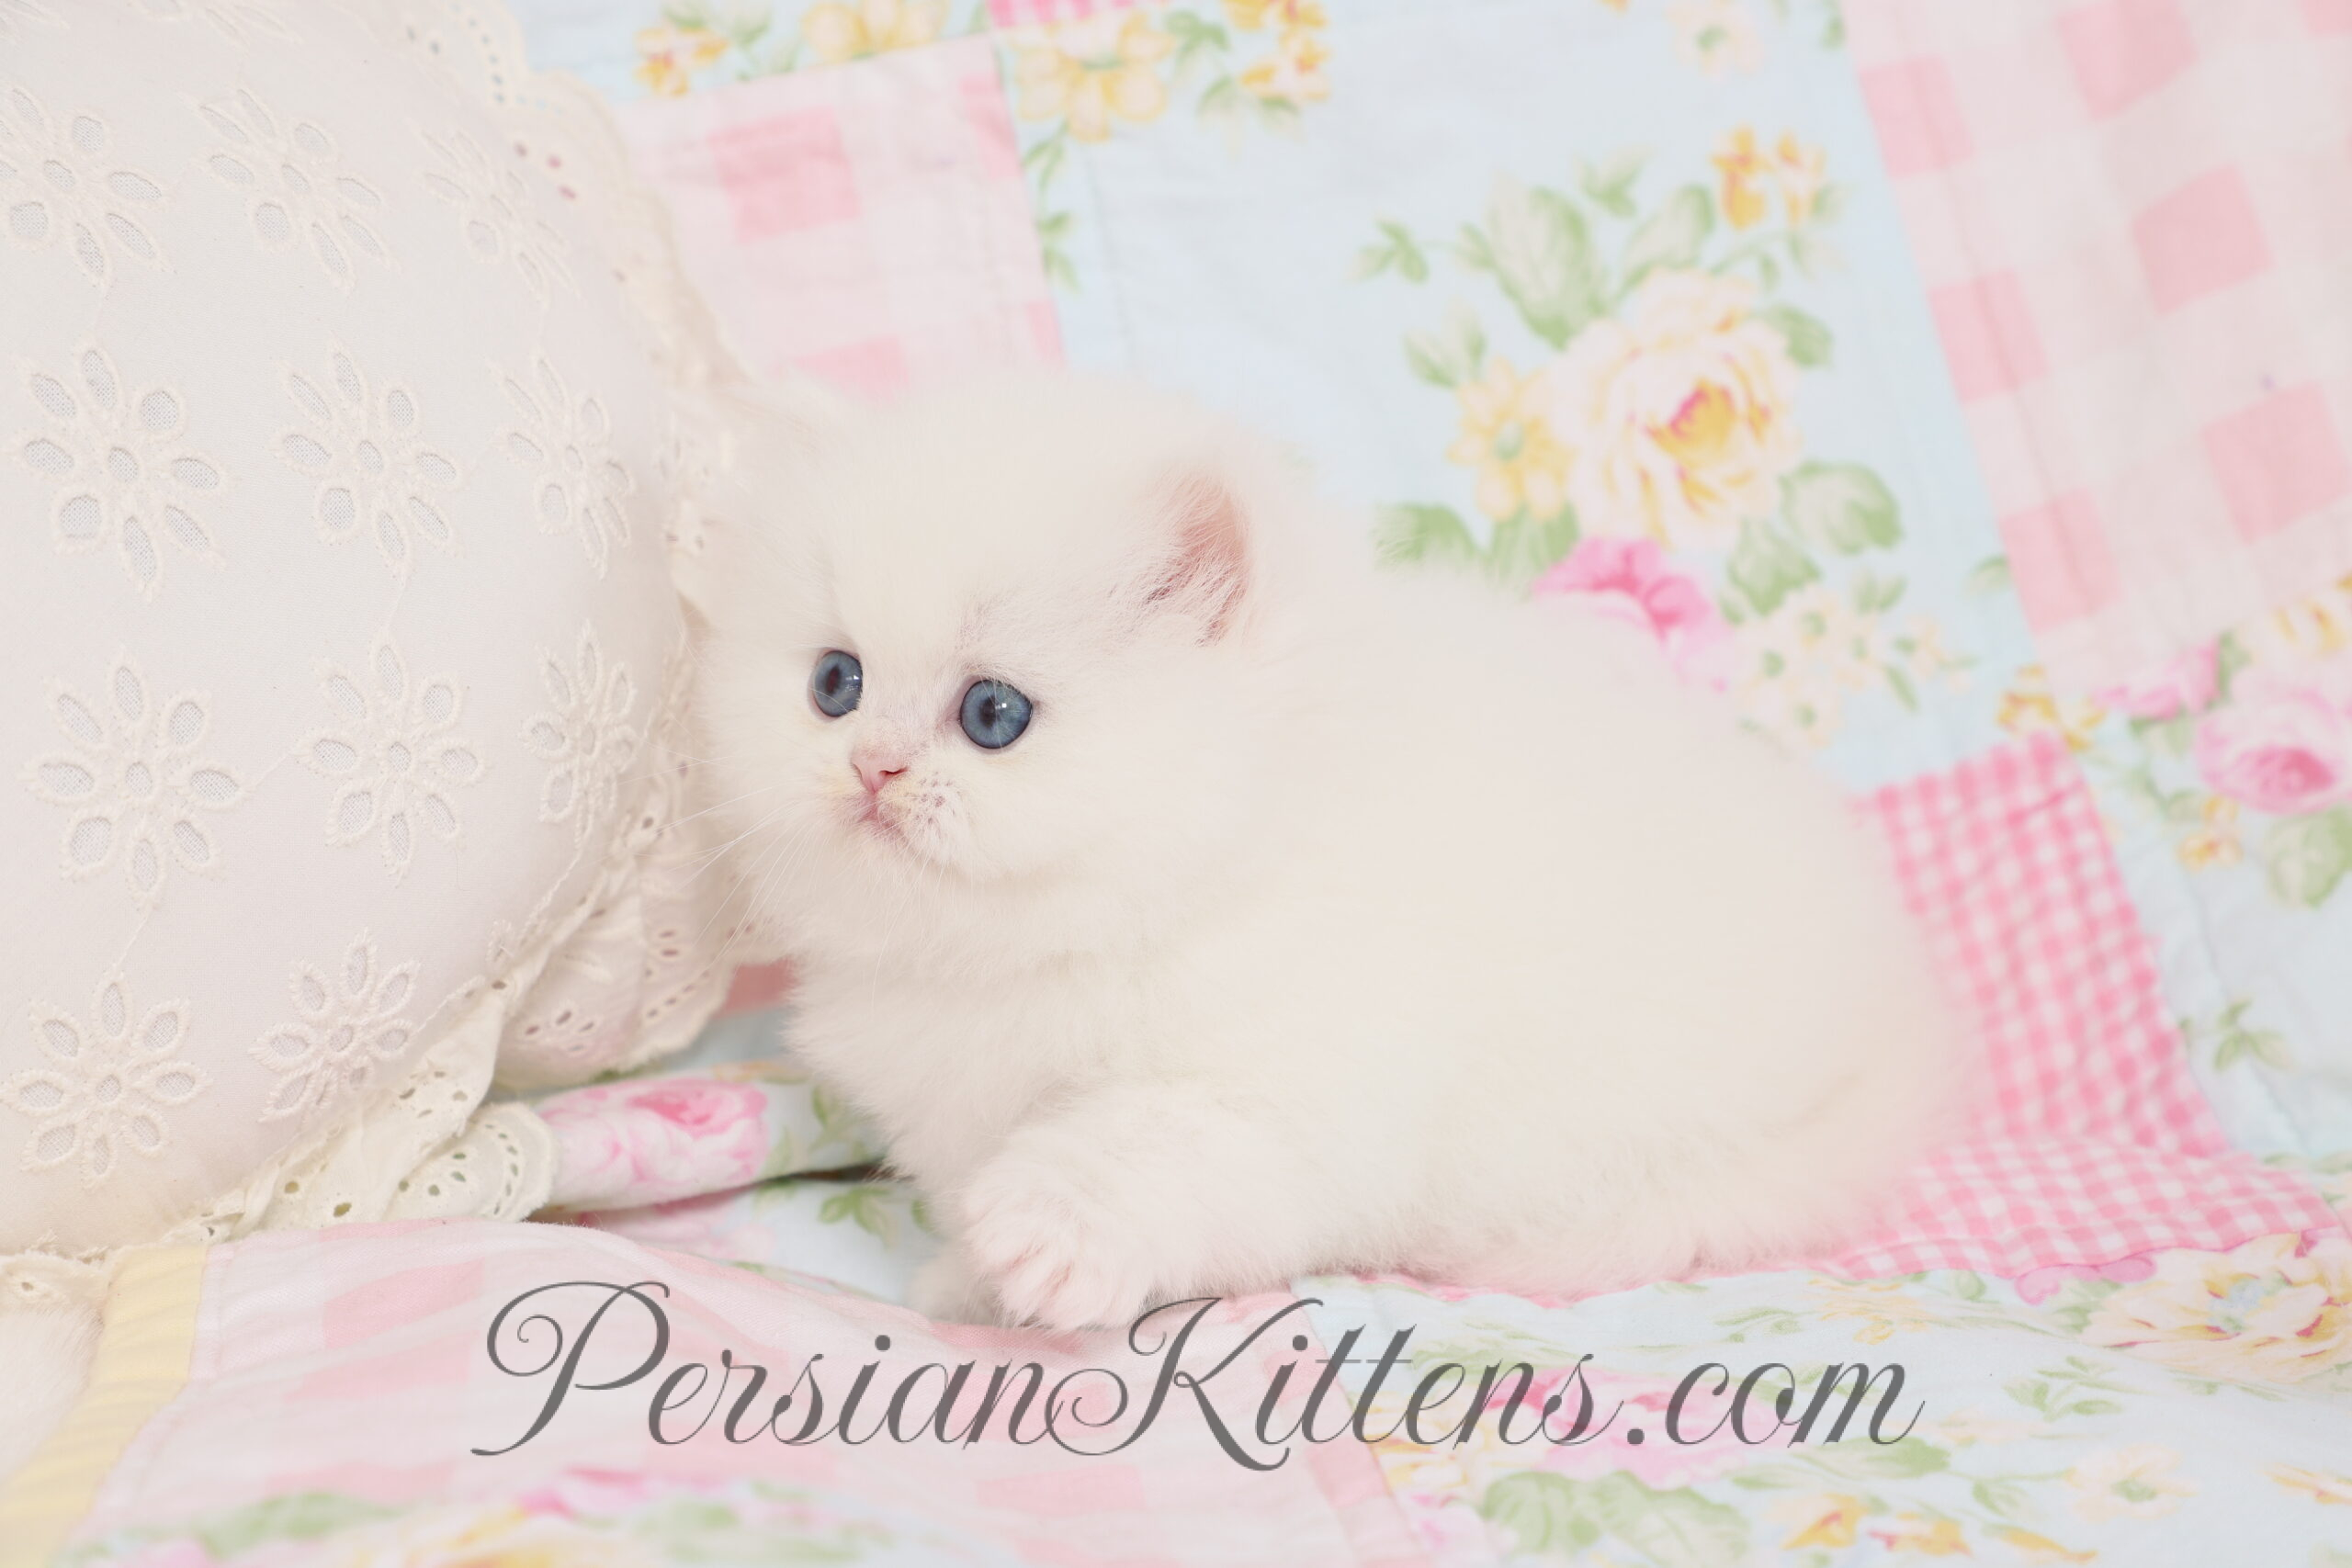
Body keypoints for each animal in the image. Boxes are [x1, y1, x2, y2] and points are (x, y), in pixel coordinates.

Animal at [692, 373, 1958, 1332]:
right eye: (835, 685)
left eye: (992, 714)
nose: (872, 770)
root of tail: (1894, 1029)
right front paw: (967, 1284)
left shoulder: (1290, 1104)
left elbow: (1144, 1149)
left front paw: (1044, 1243)